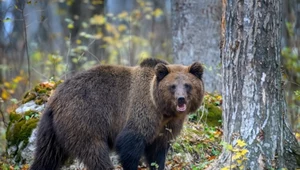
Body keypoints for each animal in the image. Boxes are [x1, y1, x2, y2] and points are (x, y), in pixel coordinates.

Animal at [30, 58, 204, 170]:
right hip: (84, 120)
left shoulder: (166, 127)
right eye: (172, 86)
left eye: (187, 85)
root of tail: (55, 98)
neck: (162, 110)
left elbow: (158, 152)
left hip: (51, 130)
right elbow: (130, 144)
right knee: (95, 153)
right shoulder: (142, 113)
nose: (181, 99)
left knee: (46, 156)